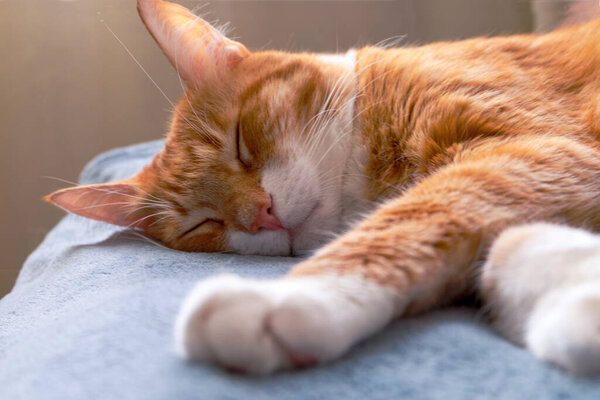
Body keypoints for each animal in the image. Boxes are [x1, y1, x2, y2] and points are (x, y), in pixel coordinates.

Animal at [44, 0, 600, 376]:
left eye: (241, 143)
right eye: (203, 223)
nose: (261, 214)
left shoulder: (541, 150)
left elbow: (419, 215)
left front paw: (291, 297)